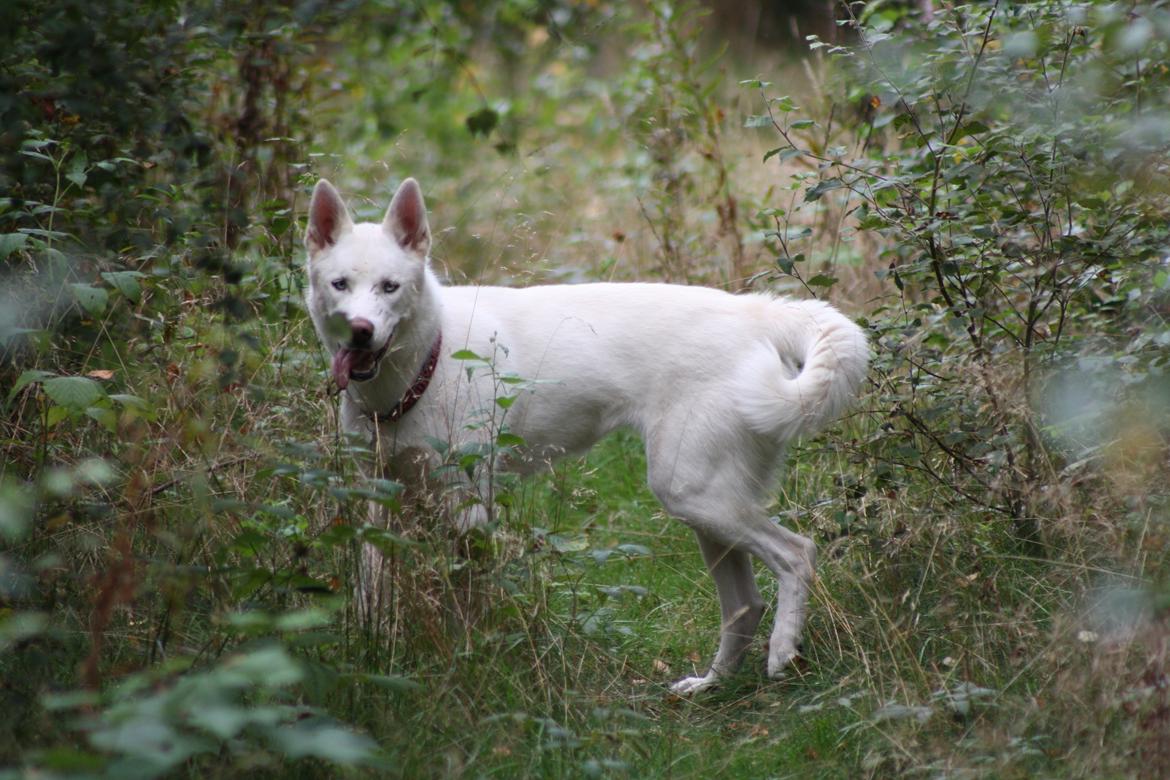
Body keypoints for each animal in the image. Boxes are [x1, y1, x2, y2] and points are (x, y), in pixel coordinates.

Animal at [304, 176, 870, 696]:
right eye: (339, 285)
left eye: (390, 287)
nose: (359, 331)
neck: (426, 364)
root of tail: (756, 311)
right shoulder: (378, 503)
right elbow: (371, 595)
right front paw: (375, 656)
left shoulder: (470, 513)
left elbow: (466, 604)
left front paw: (467, 663)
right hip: (707, 505)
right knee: (745, 606)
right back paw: (711, 685)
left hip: (695, 495)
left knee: (797, 553)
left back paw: (783, 653)